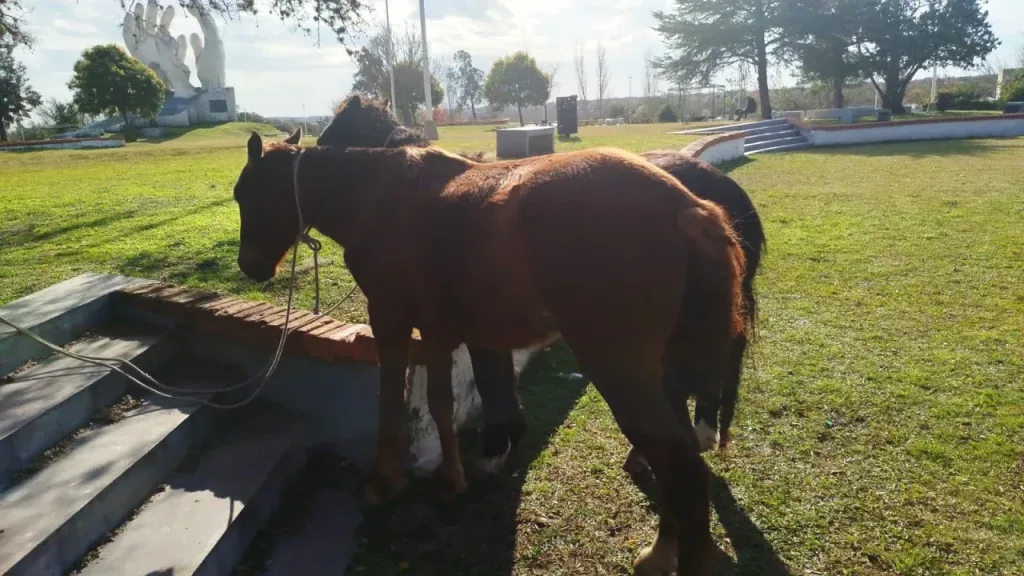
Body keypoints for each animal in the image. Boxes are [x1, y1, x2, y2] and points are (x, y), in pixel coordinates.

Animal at [233, 128, 747, 575]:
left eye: (243, 194)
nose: (250, 266)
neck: (381, 199)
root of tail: (687, 207)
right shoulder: (437, 328)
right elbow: (440, 402)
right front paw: (453, 478)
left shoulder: (390, 320)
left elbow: (390, 401)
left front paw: (384, 482)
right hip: (661, 377)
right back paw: (661, 552)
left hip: (623, 374)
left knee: (682, 470)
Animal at [319, 95, 766, 473]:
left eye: (335, 135)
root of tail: (713, 202)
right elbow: (496, 375)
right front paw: (507, 440)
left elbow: (490, 378)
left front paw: (496, 449)